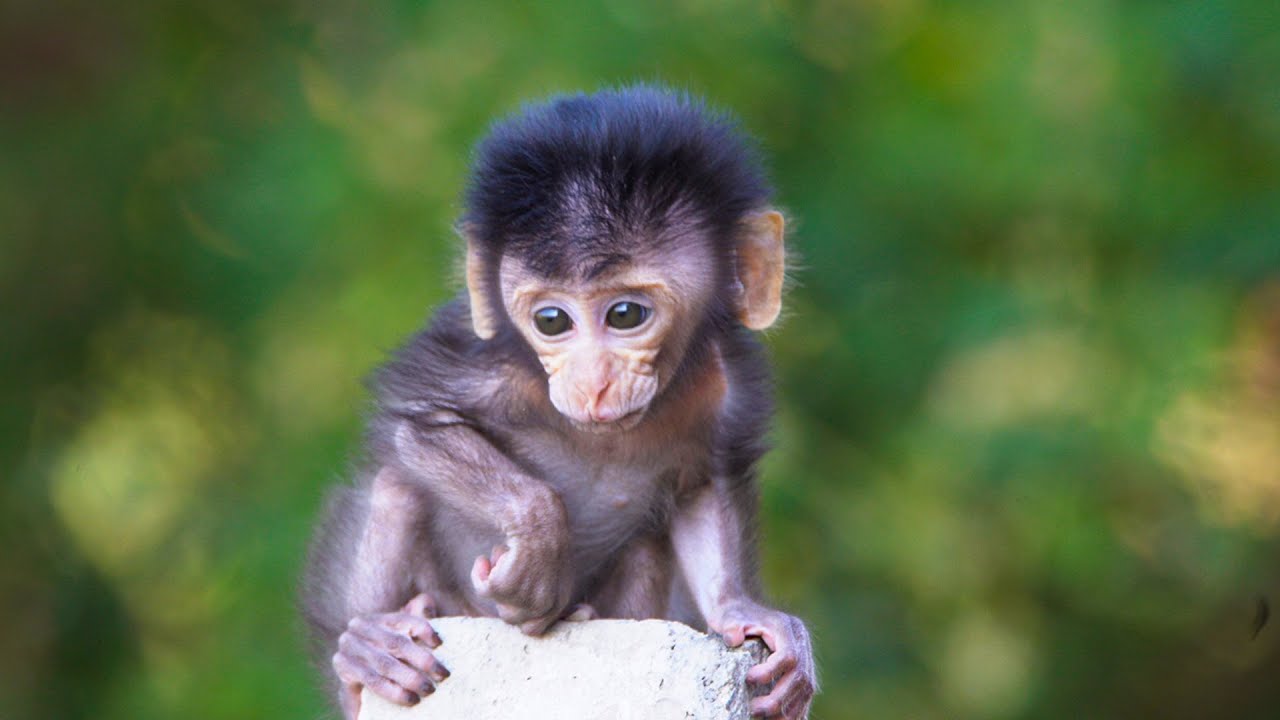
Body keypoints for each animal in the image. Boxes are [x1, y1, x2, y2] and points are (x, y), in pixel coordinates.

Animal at [301, 85, 817, 720]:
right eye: (551, 320)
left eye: (626, 314)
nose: (592, 382)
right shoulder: (491, 366)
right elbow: (421, 429)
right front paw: (536, 550)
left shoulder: (725, 383)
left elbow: (703, 486)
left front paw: (741, 611)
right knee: (396, 484)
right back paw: (367, 654)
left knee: (646, 548)